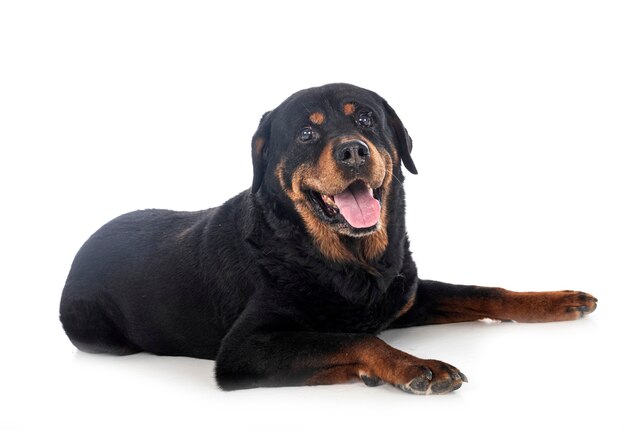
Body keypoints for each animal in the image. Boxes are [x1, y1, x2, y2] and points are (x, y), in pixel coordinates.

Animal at [61, 82, 596, 394]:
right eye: (305, 134)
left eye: (365, 119)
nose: (354, 150)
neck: (350, 264)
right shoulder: (244, 349)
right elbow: (351, 337)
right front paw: (411, 366)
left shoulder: (405, 296)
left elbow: (485, 291)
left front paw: (557, 300)